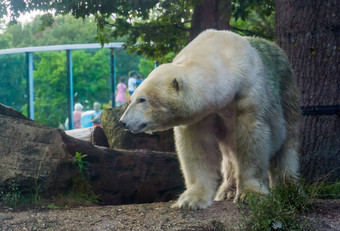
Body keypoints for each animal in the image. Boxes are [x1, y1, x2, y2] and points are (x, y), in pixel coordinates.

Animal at [119, 28, 300, 209]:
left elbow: (251, 137)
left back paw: (288, 187)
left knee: (288, 141)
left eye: (142, 99)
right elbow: (198, 146)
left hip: (286, 91)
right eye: (132, 98)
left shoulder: (249, 92)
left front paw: (251, 194)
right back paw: (227, 191)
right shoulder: (201, 115)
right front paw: (191, 200)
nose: (123, 122)